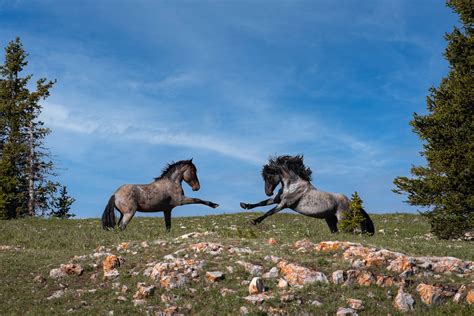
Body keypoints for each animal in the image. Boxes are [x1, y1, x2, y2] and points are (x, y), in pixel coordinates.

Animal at [241, 156, 374, 235]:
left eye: (269, 176)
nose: (268, 192)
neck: (292, 184)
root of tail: (351, 203)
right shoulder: (277, 199)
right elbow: (261, 203)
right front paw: (245, 205)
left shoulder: (284, 204)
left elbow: (269, 212)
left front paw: (254, 221)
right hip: (330, 220)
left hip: (343, 219)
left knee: (349, 231)